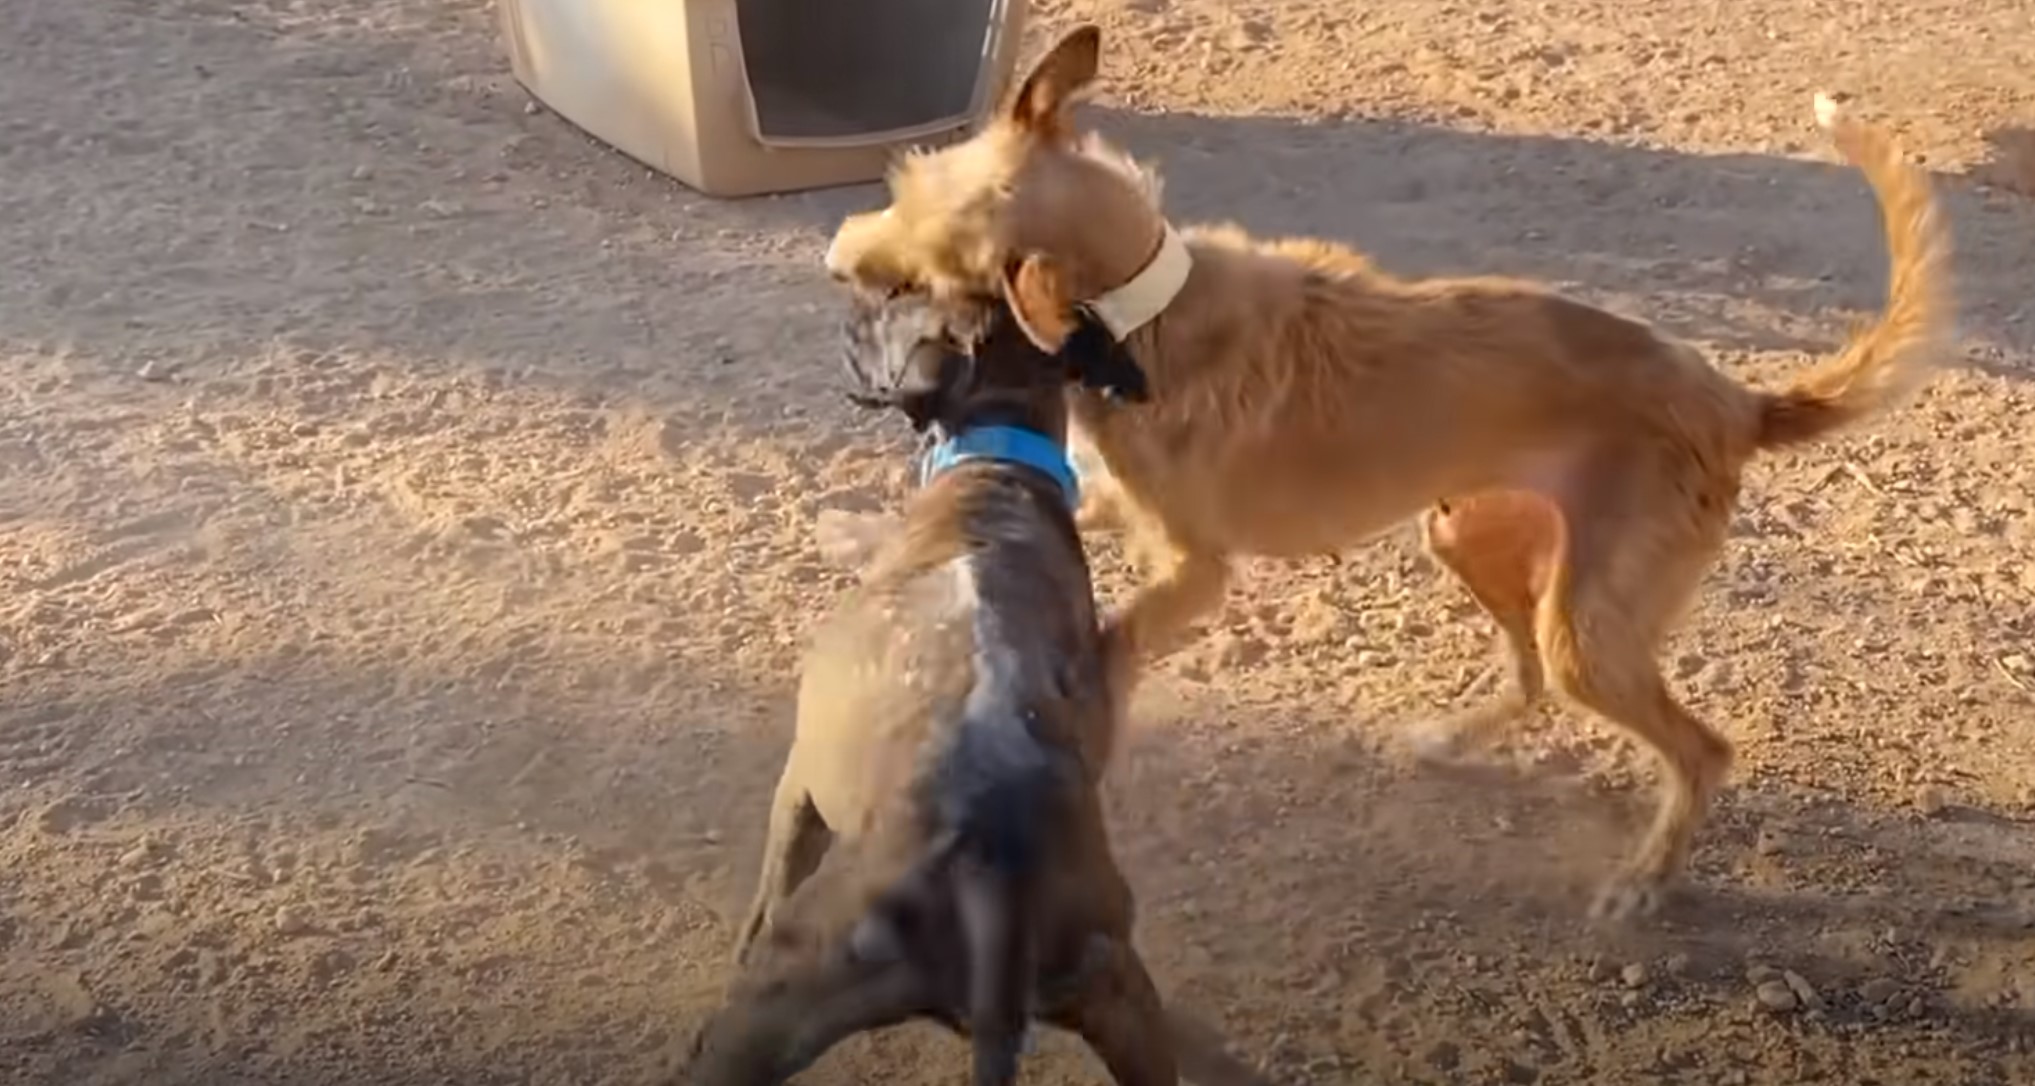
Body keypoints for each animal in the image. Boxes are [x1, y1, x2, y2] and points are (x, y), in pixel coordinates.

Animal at [826, 27, 1953, 927]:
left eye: (923, 260)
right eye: (905, 182)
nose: (837, 253)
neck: (1139, 312)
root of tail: (1732, 401)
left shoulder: (1194, 573)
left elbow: (1108, 648)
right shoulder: (1112, 501)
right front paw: (861, 533)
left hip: (1587, 627)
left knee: (1698, 750)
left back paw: (1644, 881)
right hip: (1472, 539)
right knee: (1529, 681)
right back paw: (1451, 739)